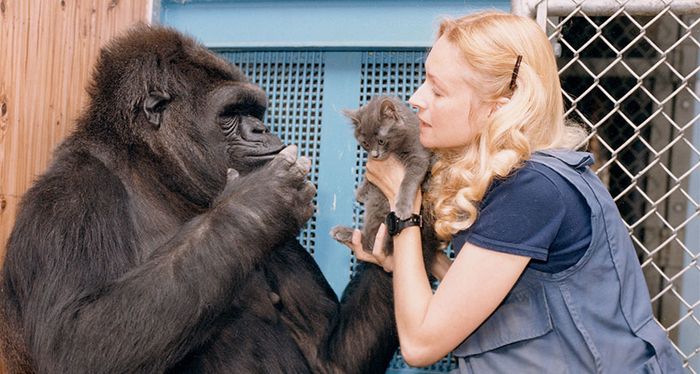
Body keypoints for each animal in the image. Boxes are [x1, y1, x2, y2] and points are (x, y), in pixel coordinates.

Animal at [0, 24, 396, 372]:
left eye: (253, 112)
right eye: (231, 113)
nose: (261, 128)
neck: (154, 171)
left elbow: (328, 358)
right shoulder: (71, 197)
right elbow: (75, 341)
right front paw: (258, 205)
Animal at [332, 96, 438, 260]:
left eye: (381, 141)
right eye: (365, 143)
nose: (375, 155)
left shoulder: (418, 156)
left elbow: (408, 180)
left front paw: (402, 207)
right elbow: (368, 177)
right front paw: (361, 192)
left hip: (379, 203)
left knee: (369, 244)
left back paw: (346, 233)